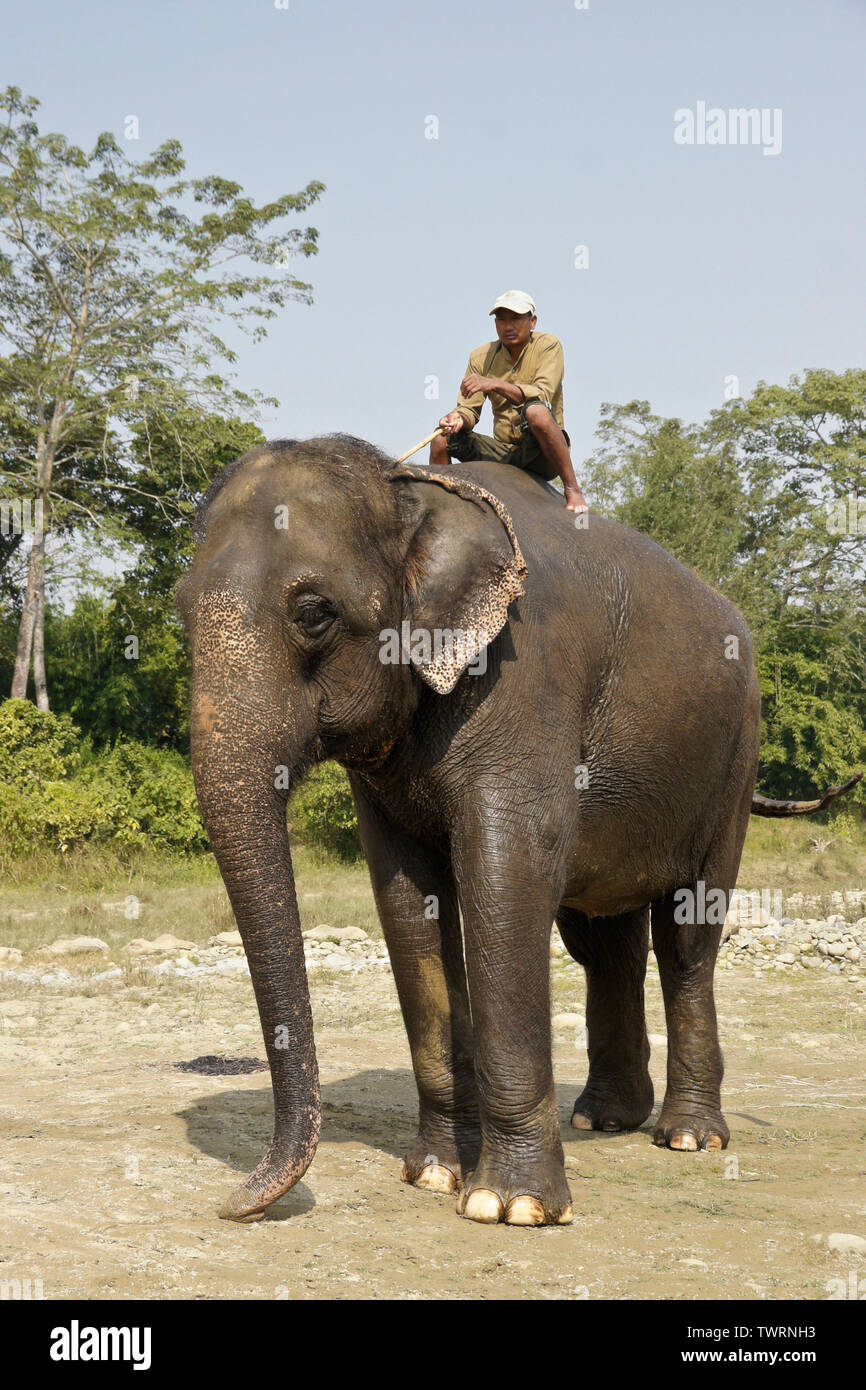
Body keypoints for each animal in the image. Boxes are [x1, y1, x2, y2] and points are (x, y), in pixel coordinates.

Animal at [176, 433, 861, 1228]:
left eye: (314, 612)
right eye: (181, 614)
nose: (235, 1204)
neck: (408, 489)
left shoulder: (523, 678)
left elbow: (508, 876)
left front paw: (509, 1207)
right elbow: (407, 901)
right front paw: (433, 1175)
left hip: (733, 760)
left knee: (687, 938)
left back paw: (688, 1138)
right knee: (606, 944)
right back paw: (606, 1119)